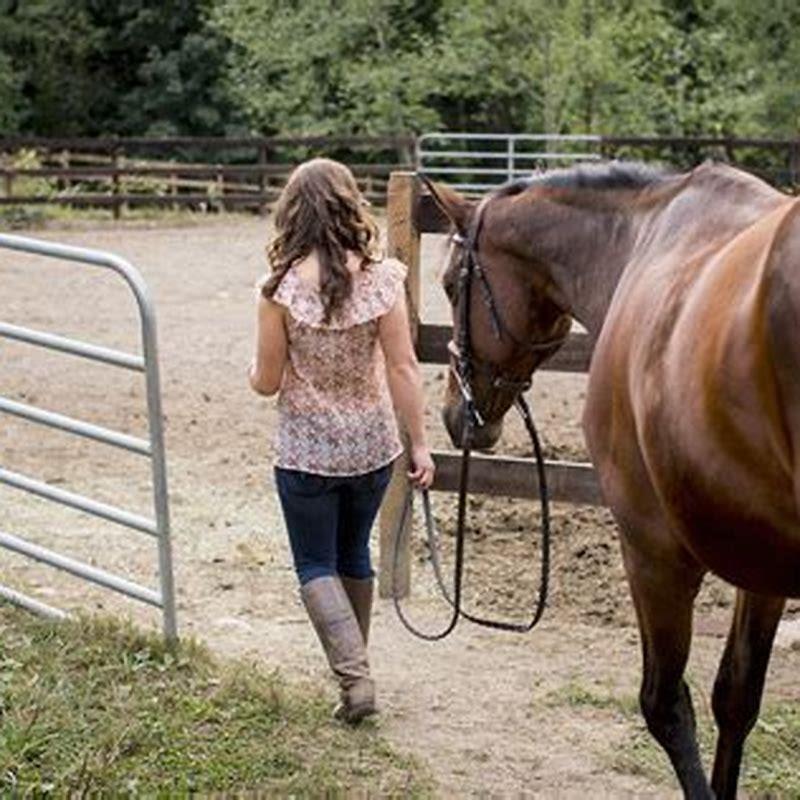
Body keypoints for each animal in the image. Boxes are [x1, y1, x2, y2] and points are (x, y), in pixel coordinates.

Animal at [432, 159, 800, 796]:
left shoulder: (653, 553)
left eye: (455, 283)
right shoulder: (761, 567)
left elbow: (665, 706)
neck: (642, 241)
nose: (458, 415)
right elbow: (735, 699)